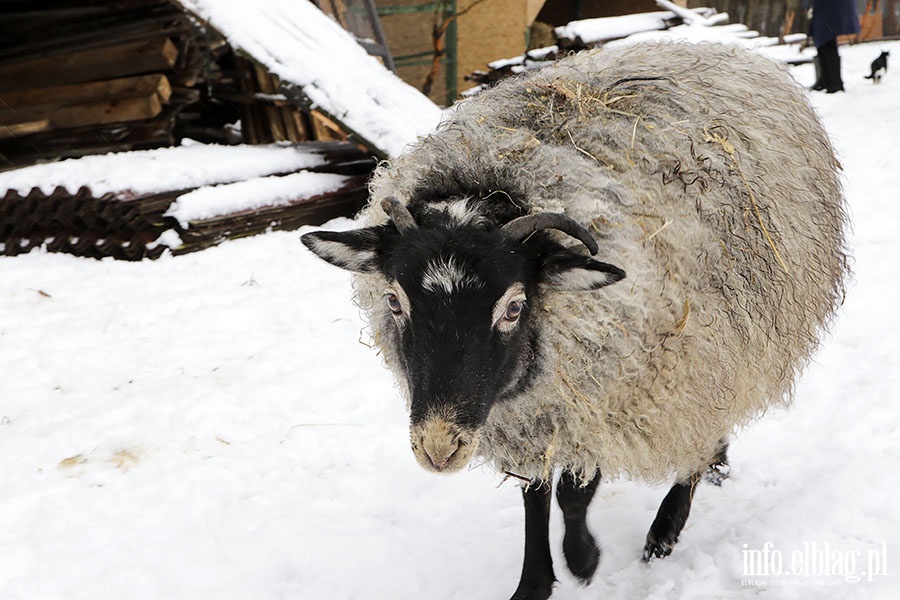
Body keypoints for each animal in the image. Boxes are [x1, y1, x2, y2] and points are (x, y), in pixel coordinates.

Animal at [298, 43, 848, 600]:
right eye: (394, 301)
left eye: (514, 307)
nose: (438, 449)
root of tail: (735, 52)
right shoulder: (539, 414)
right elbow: (536, 497)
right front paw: (534, 583)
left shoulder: (610, 389)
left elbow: (573, 493)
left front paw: (583, 558)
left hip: (722, 349)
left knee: (705, 426)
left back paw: (666, 528)